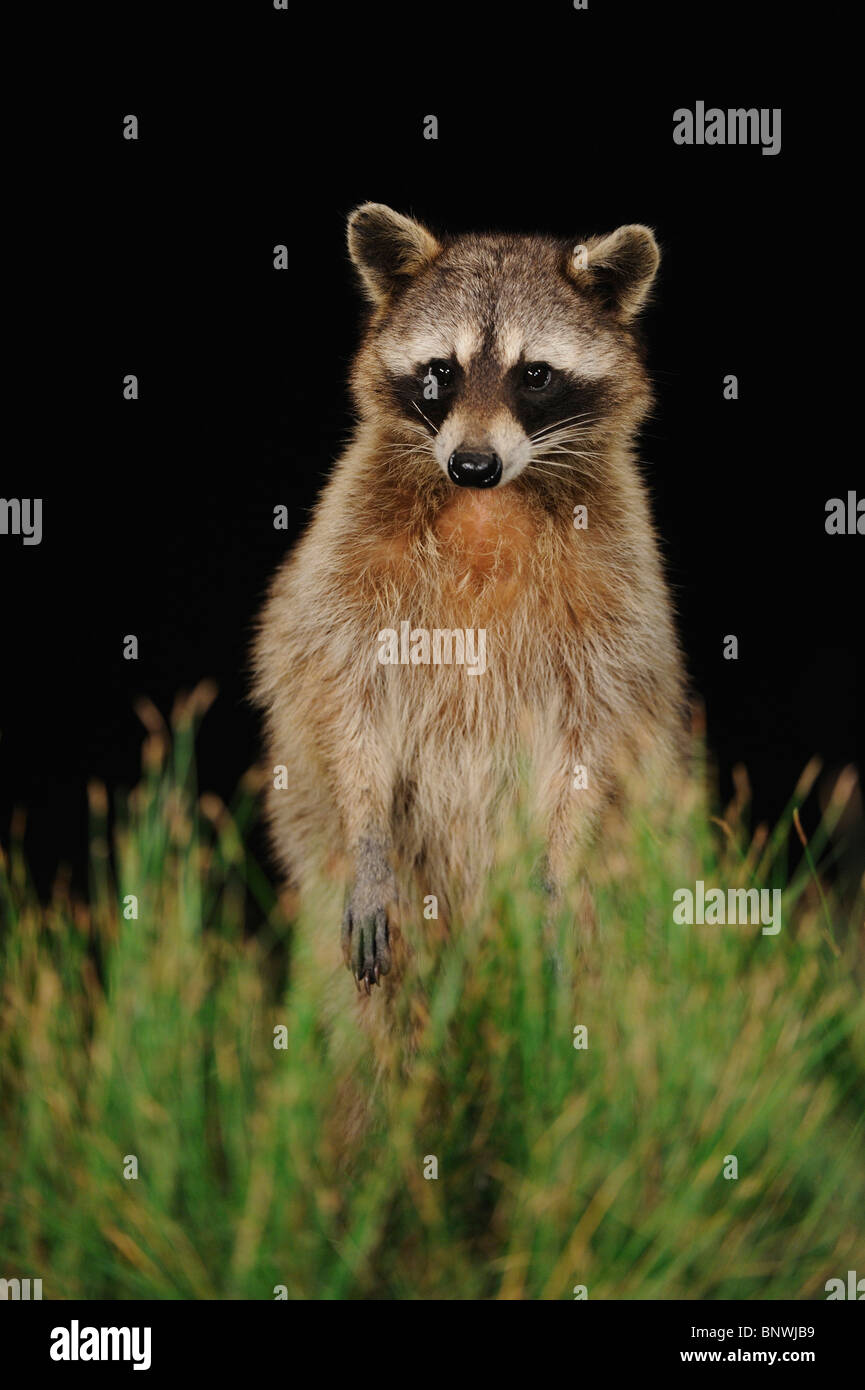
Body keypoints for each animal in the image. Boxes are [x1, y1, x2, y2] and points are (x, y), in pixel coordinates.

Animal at [253, 202, 692, 1000]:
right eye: (441, 372)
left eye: (535, 375)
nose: (472, 464)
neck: (488, 505)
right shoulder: (347, 555)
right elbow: (341, 697)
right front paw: (367, 833)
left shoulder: (618, 583)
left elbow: (596, 731)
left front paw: (559, 865)